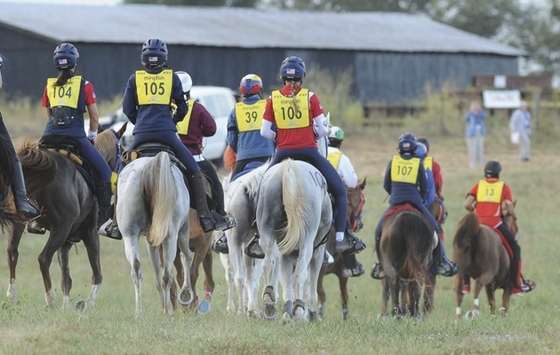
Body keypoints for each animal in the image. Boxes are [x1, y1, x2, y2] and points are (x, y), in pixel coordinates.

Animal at [4, 126, 125, 310]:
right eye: (123, 153)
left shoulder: (65, 243)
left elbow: (66, 279)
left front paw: (66, 308)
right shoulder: (91, 236)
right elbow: (97, 274)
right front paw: (85, 303)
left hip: (19, 223)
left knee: (12, 253)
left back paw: (11, 296)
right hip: (60, 230)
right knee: (43, 258)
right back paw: (50, 300)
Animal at [116, 152, 192, 318]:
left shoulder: (150, 240)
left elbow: (156, 274)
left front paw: (163, 307)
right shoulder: (182, 230)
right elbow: (186, 256)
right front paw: (185, 293)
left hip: (130, 235)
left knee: (136, 269)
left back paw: (139, 313)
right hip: (171, 236)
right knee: (167, 274)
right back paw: (169, 312)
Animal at [218, 163, 268, 318]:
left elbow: (238, 277)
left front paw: (244, 308)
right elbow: (251, 279)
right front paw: (250, 307)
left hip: (234, 243)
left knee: (238, 277)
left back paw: (241, 311)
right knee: (246, 278)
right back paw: (248, 310)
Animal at [258, 160, 332, 324]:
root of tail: (289, 167)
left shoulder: (286, 254)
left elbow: (287, 286)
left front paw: (287, 313)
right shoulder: (318, 252)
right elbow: (310, 287)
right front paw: (309, 315)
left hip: (267, 230)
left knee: (268, 262)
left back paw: (269, 303)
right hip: (307, 241)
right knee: (301, 273)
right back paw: (298, 311)